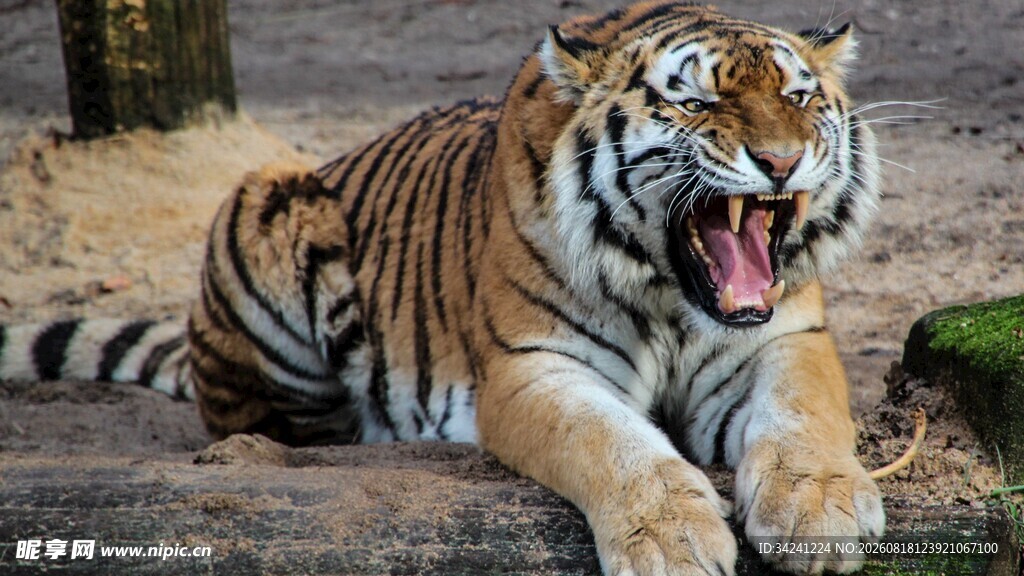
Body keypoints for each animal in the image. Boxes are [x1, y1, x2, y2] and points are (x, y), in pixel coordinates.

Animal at [0, 2, 888, 574]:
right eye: (697, 102)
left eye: (798, 96)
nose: (781, 161)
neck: (673, 295)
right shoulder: (533, 368)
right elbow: (612, 442)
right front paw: (673, 539)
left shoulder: (785, 338)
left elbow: (804, 414)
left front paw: (819, 510)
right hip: (267, 199)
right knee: (268, 425)